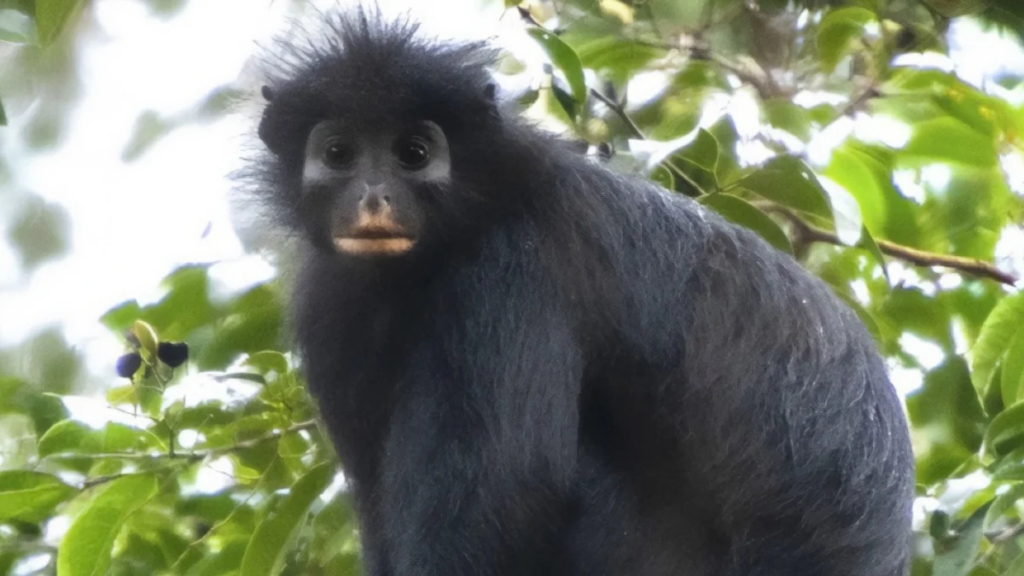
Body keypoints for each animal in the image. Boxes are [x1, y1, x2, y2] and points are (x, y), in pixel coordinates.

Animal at [247, 9, 914, 576]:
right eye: (339, 154)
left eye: (413, 154)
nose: (373, 197)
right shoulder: (330, 303)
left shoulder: (511, 268)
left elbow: (509, 491)